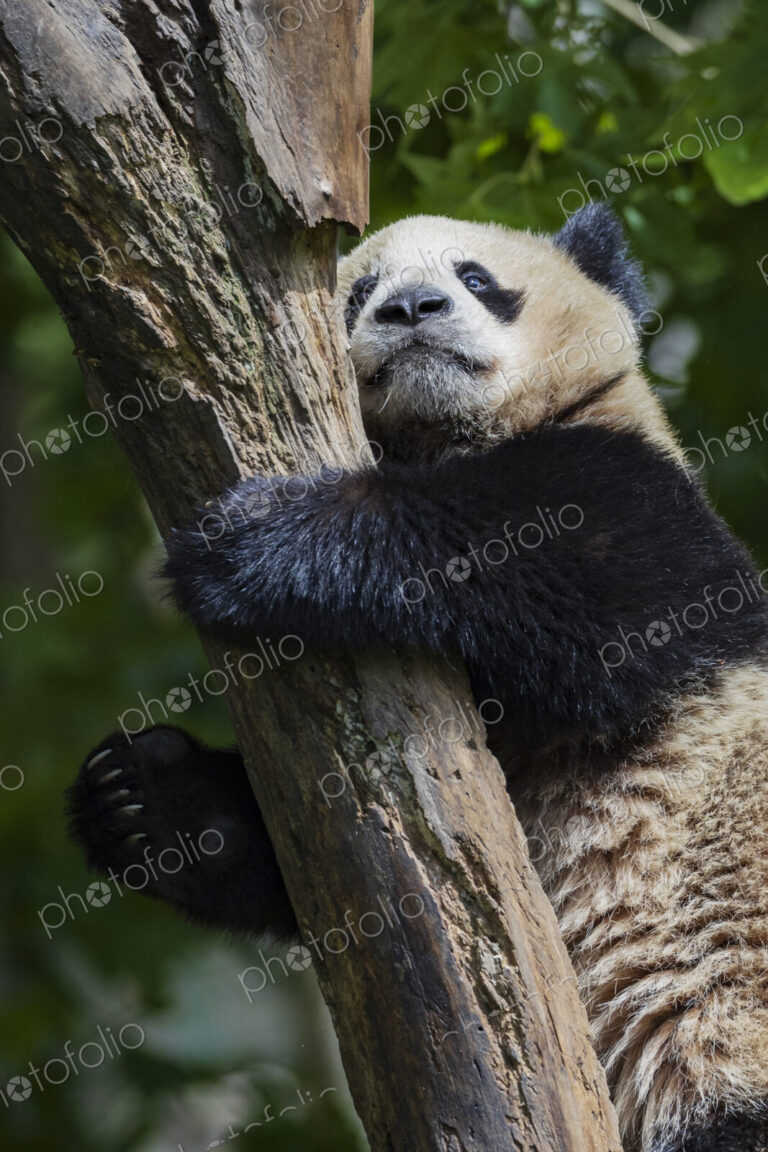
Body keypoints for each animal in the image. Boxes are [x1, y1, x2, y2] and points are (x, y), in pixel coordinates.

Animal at [67, 204, 768, 1152]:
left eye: (475, 278)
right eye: (360, 289)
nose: (412, 309)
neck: (448, 437)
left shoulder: (649, 505)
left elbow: (567, 588)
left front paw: (260, 540)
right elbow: (293, 867)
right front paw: (149, 801)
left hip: (721, 1022)